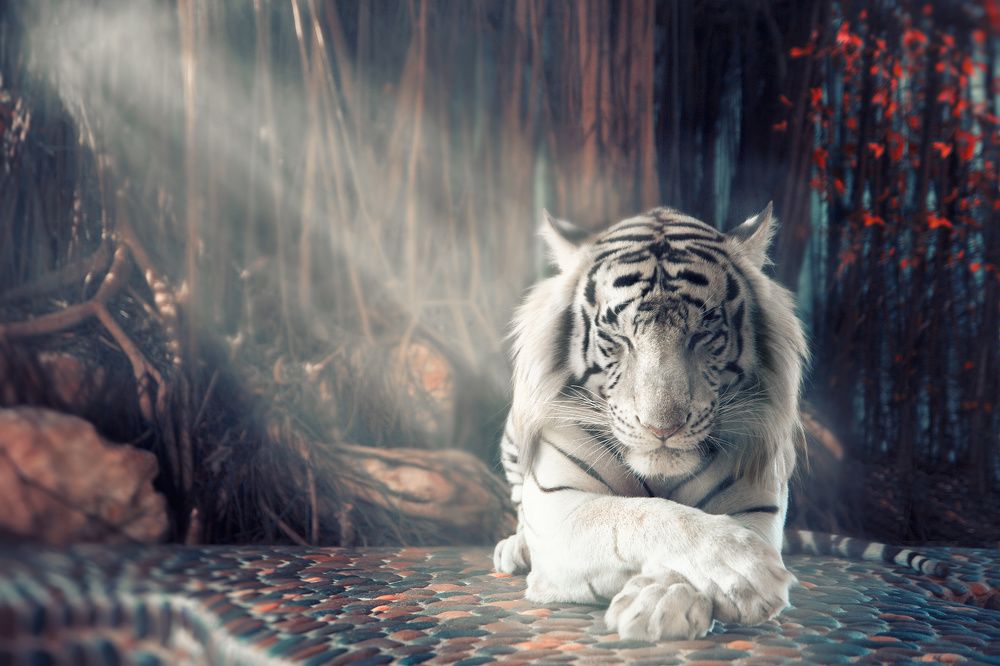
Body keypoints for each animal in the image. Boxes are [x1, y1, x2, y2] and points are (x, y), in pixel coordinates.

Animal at [493, 204, 947, 641]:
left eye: (703, 334)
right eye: (617, 337)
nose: (662, 429)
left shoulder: (757, 503)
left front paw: (662, 602)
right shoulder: (559, 507)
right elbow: (643, 515)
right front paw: (743, 570)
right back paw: (514, 549)